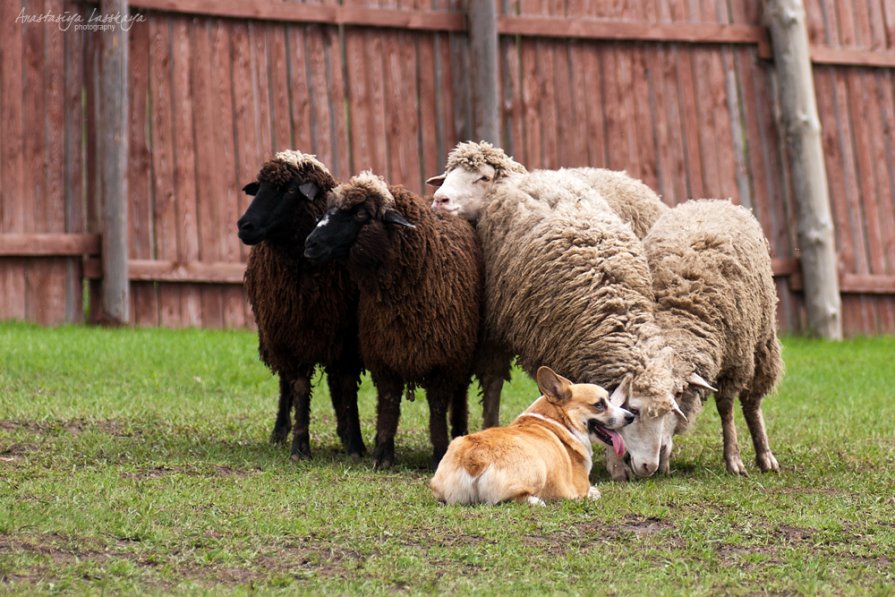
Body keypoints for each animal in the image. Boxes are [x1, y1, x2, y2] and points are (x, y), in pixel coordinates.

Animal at [238, 149, 368, 460]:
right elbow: (298, 388)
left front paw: (355, 444)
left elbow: (347, 390)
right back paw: (279, 432)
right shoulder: (292, 335)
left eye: (288, 190)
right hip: (274, 333)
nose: (244, 226)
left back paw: (343, 432)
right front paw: (299, 446)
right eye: (259, 189)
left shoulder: (348, 339)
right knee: (284, 383)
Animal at [304, 170, 484, 468]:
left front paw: (439, 452)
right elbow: (388, 407)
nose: (310, 244)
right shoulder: (385, 357)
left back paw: (460, 432)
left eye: (361, 214)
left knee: (459, 398)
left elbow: (437, 410)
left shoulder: (443, 362)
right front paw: (383, 455)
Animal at [430, 366, 632, 506]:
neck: (559, 419)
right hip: (538, 468)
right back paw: (536, 501)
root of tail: (474, 459)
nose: (630, 417)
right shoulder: (582, 486)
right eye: (599, 404)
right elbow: (595, 491)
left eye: (609, 399)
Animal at [612, 200, 780, 480]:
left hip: (762, 343)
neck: (682, 310)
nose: (655, 459)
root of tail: (711, 202)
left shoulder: (735, 363)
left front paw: (733, 459)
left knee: (752, 402)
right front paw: (666, 460)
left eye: (680, 393)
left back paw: (765, 455)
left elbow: (726, 409)